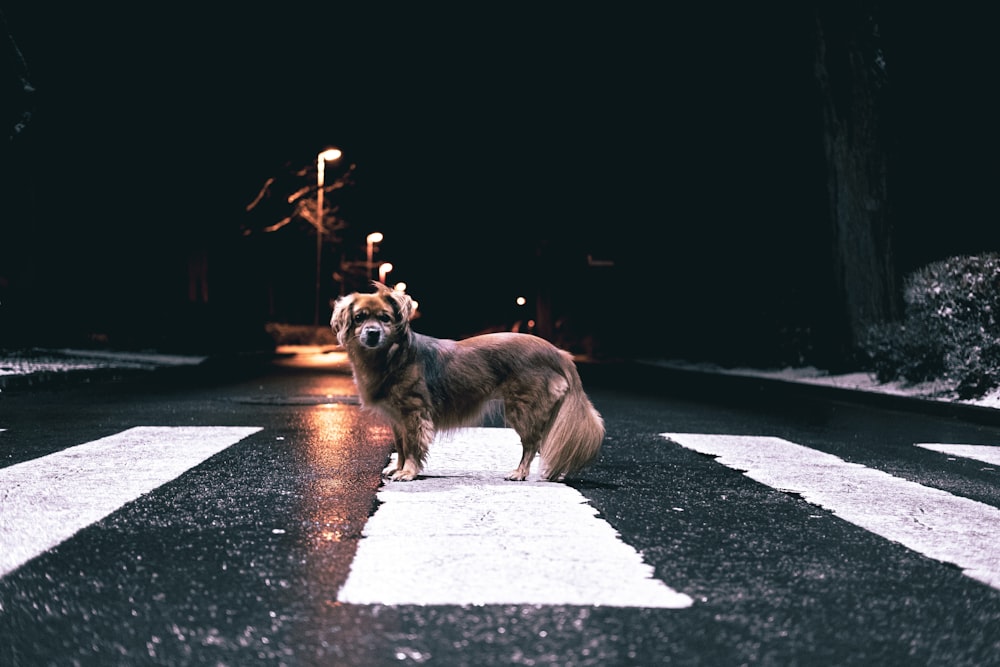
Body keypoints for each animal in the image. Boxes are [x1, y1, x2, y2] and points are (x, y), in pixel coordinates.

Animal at [332, 280, 604, 480]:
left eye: (385, 318)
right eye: (359, 318)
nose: (372, 333)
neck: (391, 356)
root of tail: (558, 352)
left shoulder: (414, 414)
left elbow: (412, 447)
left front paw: (408, 472)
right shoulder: (397, 419)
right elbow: (400, 447)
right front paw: (397, 468)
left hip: (522, 409)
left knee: (532, 444)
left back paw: (520, 473)